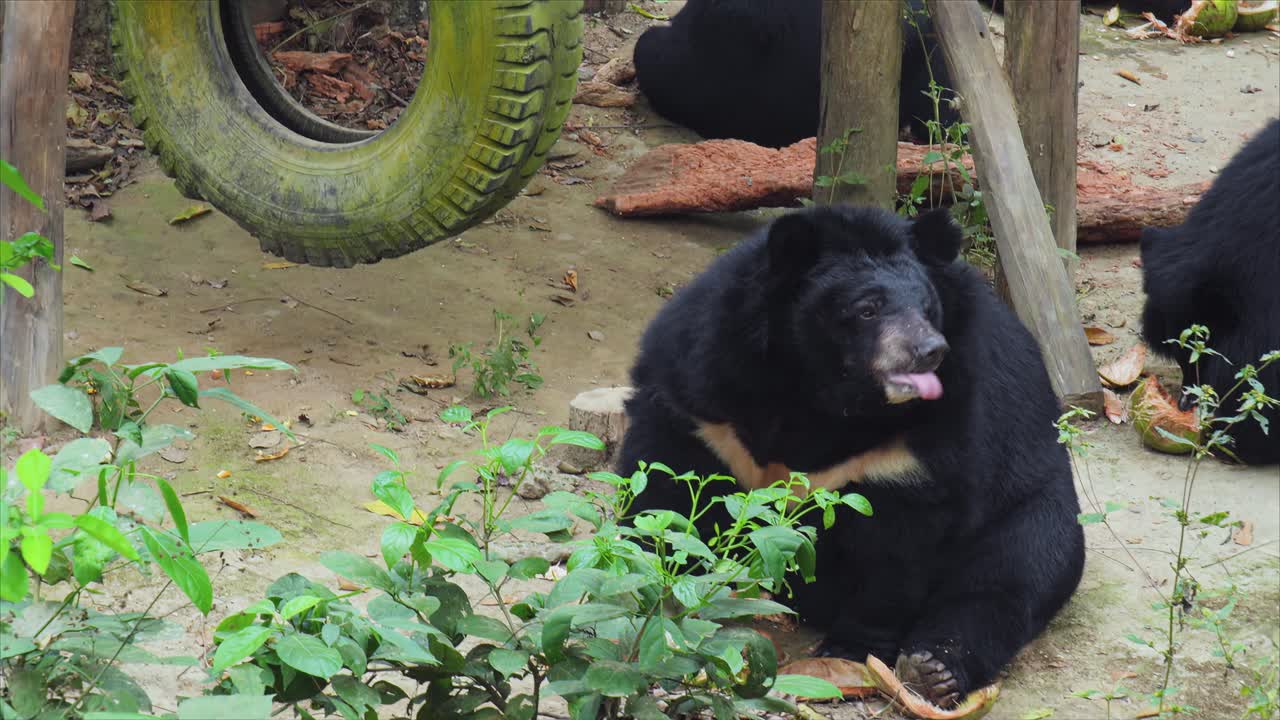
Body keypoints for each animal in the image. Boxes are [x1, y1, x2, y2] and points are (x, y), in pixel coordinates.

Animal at [616, 205, 1087, 707]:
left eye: (927, 308)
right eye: (867, 309)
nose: (930, 351)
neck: (820, 395)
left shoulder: (908, 455)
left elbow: (894, 552)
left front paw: (851, 648)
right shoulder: (705, 394)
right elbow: (662, 484)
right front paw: (650, 585)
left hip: (1035, 505)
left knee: (1010, 576)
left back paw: (932, 669)